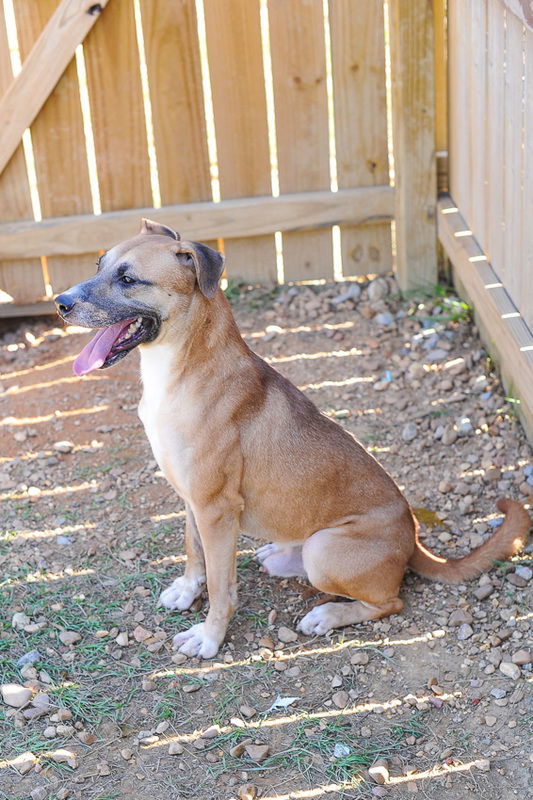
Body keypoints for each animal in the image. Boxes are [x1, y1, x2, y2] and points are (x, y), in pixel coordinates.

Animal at [56, 217, 528, 656]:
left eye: (128, 279)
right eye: (99, 265)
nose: (60, 302)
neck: (181, 366)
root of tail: (413, 541)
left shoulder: (215, 509)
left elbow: (222, 586)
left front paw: (209, 636)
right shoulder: (191, 500)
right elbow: (193, 552)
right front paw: (188, 591)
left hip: (325, 549)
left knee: (389, 602)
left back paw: (327, 615)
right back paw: (279, 557)